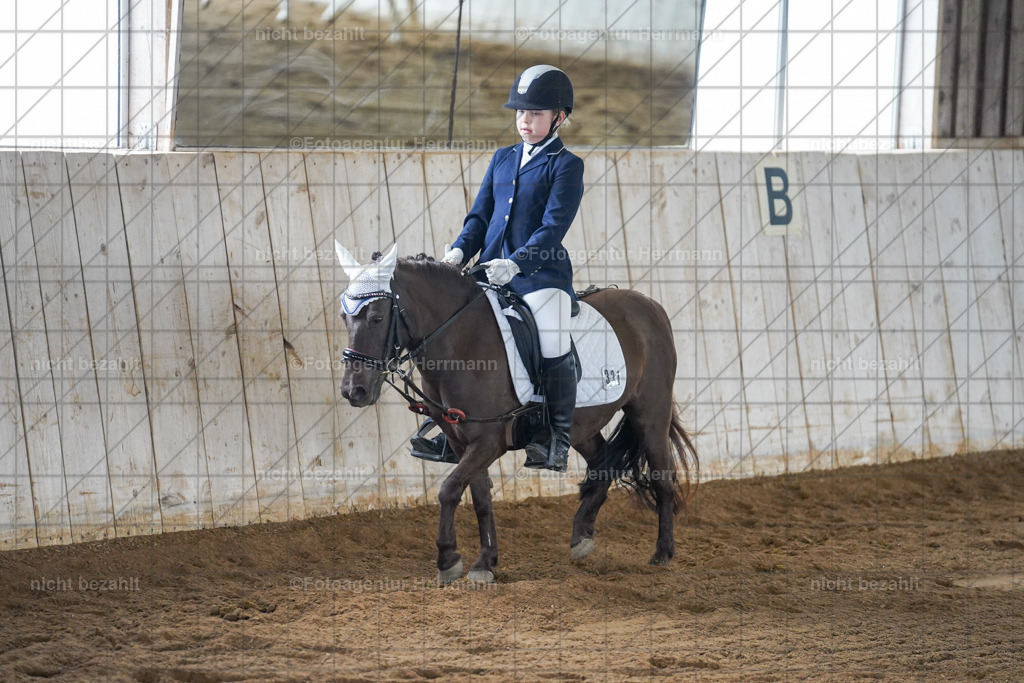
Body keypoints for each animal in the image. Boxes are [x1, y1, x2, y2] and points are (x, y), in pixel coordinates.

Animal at [334, 242, 698, 583]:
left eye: (377, 318)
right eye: (344, 317)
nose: (354, 390)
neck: (462, 342)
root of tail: (647, 303)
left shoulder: (488, 441)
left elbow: (449, 490)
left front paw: (448, 560)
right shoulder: (461, 441)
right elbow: (479, 497)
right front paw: (485, 561)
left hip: (650, 413)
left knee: (662, 476)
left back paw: (662, 553)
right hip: (583, 424)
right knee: (602, 463)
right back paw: (581, 534)